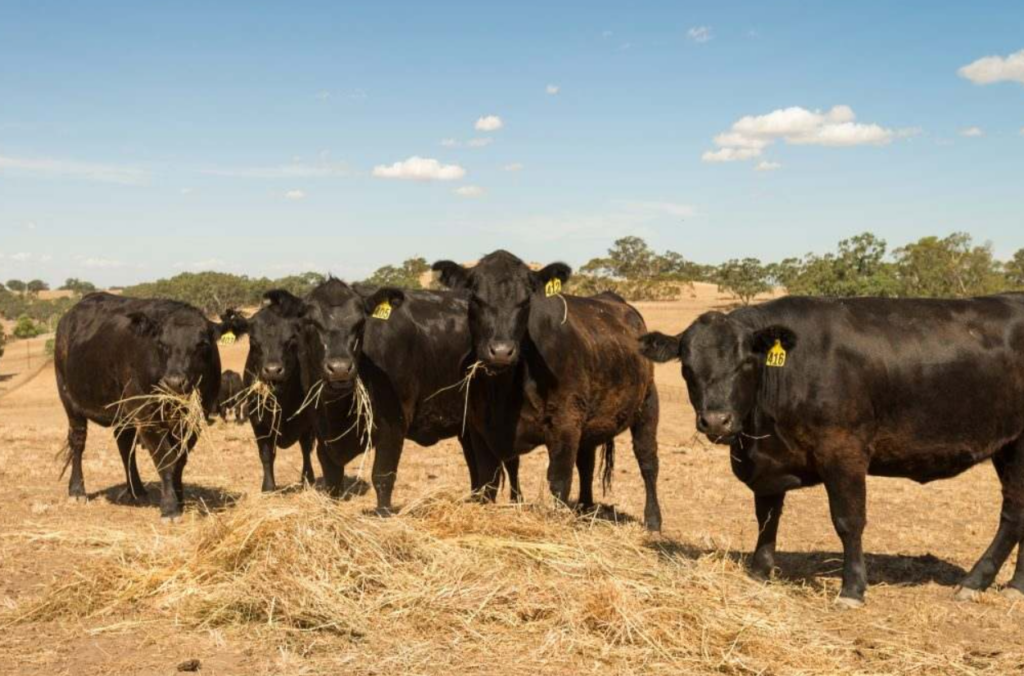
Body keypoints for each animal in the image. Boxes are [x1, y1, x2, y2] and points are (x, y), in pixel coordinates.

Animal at [54, 293, 227, 522]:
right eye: (162, 344)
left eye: (202, 344)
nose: (174, 382)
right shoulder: (147, 416)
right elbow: (165, 459)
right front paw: (170, 508)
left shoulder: (197, 418)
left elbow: (179, 459)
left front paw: (179, 499)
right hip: (70, 400)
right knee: (78, 442)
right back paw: (77, 490)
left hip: (123, 411)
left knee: (124, 444)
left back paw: (136, 491)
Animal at [220, 291, 316, 492]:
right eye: (253, 340)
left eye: (292, 339)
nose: (273, 370)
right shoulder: (258, 419)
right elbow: (265, 453)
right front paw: (268, 486)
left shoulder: (308, 419)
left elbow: (306, 448)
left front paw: (307, 479)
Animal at [297, 278, 519, 513]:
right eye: (310, 322)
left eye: (360, 323)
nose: (340, 369)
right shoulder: (322, 433)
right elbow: (332, 480)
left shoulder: (393, 425)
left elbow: (382, 476)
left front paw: (382, 515)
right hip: (467, 427)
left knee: (499, 468)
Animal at [432, 250, 663, 531]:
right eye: (475, 298)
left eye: (525, 301)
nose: (501, 351)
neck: (504, 390)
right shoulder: (479, 429)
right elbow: (487, 481)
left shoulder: (565, 422)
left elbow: (559, 479)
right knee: (586, 463)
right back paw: (585, 509)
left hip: (647, 404)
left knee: (647, 460)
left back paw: (653, 521)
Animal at [639, 294, 1024, 607]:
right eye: (687, 368)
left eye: (746, 362)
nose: (716, 421)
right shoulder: (767, 464)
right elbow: (767, 516)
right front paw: (759, 571)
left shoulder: (843, 452)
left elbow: (848, 521)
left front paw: (852, 589)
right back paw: (1014, 587)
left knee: (1013, 515)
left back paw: (975, 582)